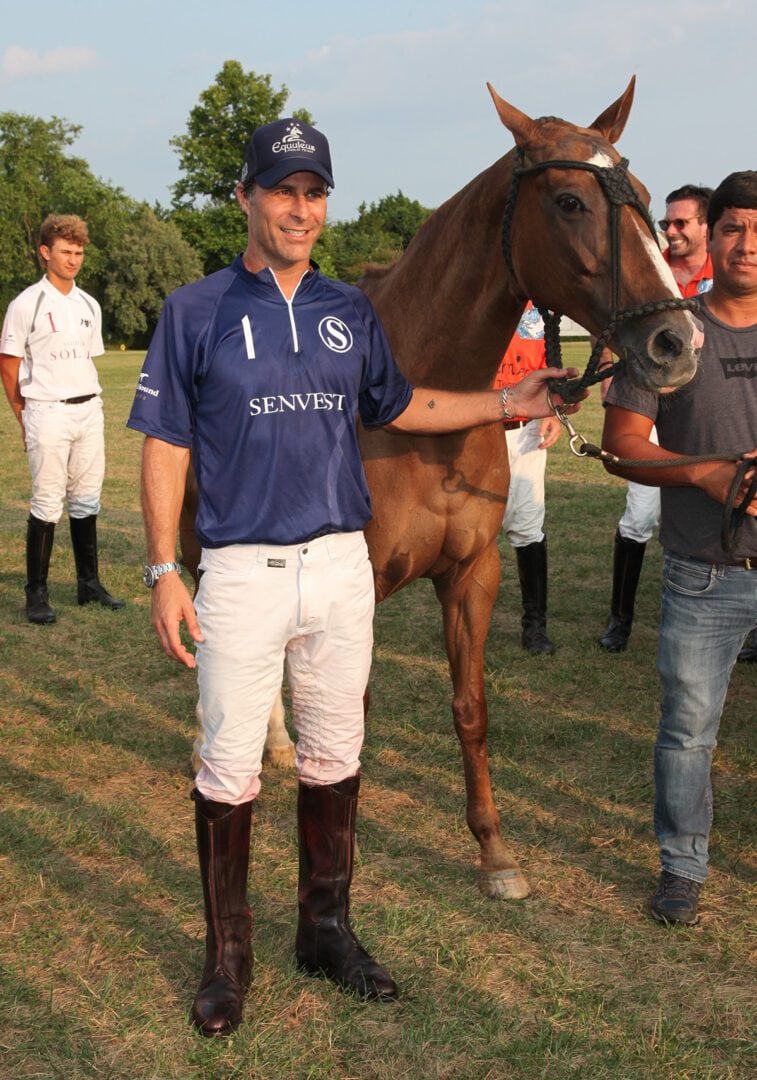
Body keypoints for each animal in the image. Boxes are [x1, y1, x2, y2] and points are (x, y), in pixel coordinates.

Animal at [180, 79, 699, 898]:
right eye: (568, 202)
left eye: (646, 199)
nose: (674, 343)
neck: (419, 403)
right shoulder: (355, 587)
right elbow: (350, 714)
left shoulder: (470, 576)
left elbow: (470, 709)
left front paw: (493, 852)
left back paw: (277, 745)